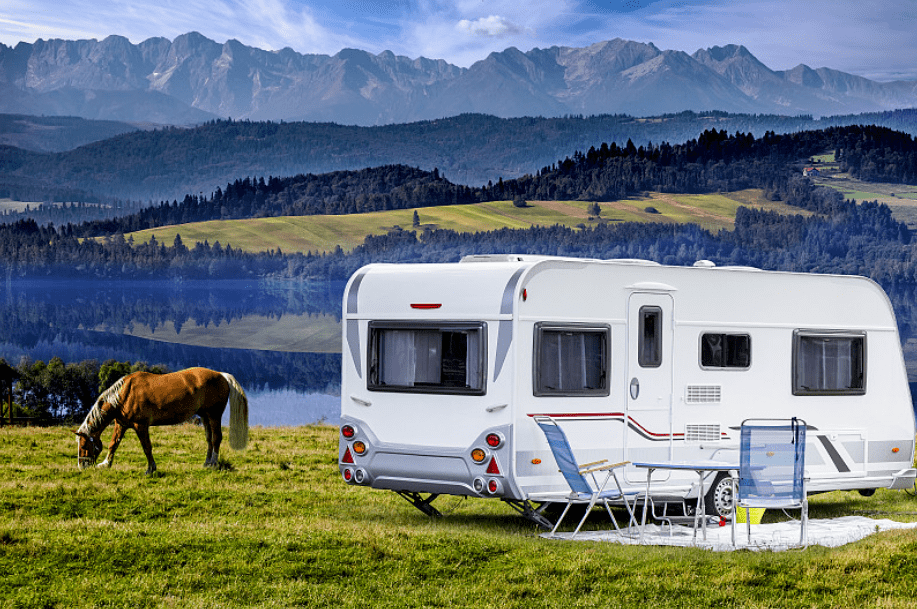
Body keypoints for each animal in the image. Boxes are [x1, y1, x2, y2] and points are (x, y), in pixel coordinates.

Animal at [74, 366, 247, 476]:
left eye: (83, 445)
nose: (82, 466)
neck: (124, 395)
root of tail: (221, 375)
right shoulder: (121, 424)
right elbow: (113, 444)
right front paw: (106, 464)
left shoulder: (141, 426)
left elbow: (147, 448)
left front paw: (150, 469)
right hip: (205, 416)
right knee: (210, 439)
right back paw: (207, 462)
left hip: (214, 415)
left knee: (216, 438)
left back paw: (214, 464)